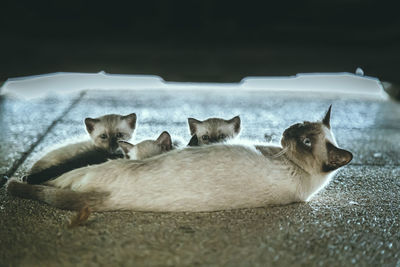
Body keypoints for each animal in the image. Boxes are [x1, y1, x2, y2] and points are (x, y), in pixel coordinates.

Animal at [7, 106, 354, 214]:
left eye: (307, 142)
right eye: (299, 127)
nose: (286, 132)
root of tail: (105, 198)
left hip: (85, 172)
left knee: (45, 183)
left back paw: (18, 181)